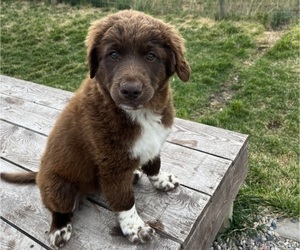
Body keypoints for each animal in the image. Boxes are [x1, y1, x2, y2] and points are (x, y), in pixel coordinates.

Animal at [0, 9, 190, 248]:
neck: (140, 114)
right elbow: (124, 200)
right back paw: (60, 229)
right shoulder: (112, 166)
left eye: (151, 56)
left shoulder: (153, 143)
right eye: (113, 55)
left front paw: (162, 181)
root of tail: (39, 174)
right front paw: (135, 228)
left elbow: (154, 164)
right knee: (59, 208)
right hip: (58, 186)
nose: (130, 90)